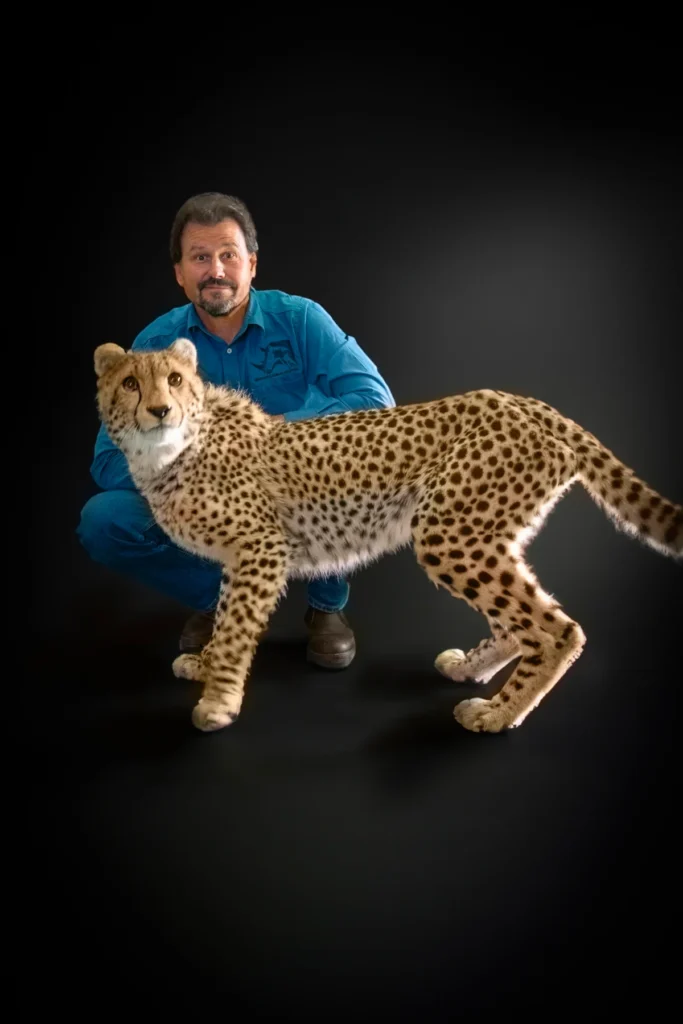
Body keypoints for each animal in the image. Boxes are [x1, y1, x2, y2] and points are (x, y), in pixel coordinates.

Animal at [93, 337, 682, 735]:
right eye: (130, 383)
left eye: (174, 379)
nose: (160, 409)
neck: (169, 453)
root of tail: (517, 398)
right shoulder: (240, 559)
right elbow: (221, 613)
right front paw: (206, 662)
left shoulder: (261, 547)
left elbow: (237, 627)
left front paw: (218, 701)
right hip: (487, 533)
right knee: (521, 622)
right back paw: (470, 669)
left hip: (448, 532)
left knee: (556, 629)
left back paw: (497, 714)